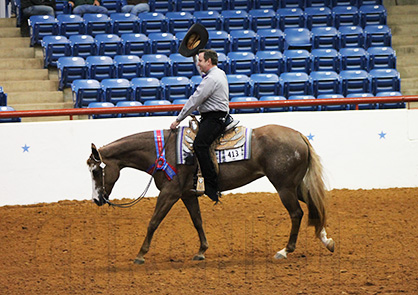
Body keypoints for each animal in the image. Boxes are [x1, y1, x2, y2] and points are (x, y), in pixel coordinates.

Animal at [86, 123, 334, 264]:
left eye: (96, 171)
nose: (97, 200)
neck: (162, 151)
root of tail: (299, 136)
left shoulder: (170, 193)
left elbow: (153, 222)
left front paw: (140, 255)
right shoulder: (187, 194)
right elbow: (197, 221)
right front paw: (202, 251)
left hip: (284, 187)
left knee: (297, 214)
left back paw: (285, 251)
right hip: (294, 185)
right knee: (314, 205)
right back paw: (326, 240)